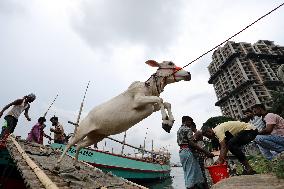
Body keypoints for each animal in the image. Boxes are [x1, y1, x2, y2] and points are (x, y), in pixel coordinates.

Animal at [55, 59, 191, 168]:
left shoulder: (152, 106)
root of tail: (87, 117)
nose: (188, 74)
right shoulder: (138, 100)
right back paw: (58, 164)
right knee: (70, 143)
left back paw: (76, 164)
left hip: (96, 136)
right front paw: (165, 121)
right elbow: (160, 99)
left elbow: (166, 103)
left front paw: (170, 122)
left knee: (79, 145)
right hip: (82, 131)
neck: (148, 88)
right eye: (170, 63)